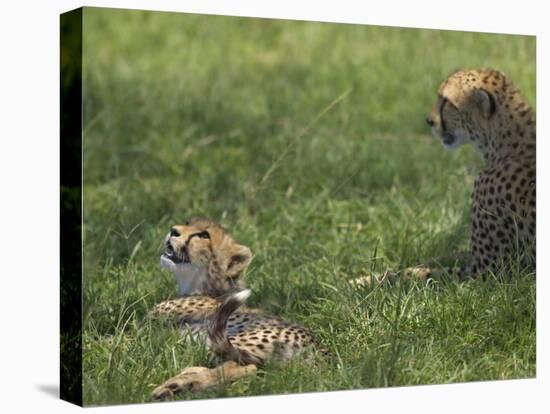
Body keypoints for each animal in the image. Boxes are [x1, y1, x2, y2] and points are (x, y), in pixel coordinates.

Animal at [151, 218, 320, 400]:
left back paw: (175, 385)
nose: (173, 230)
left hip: (230, 340)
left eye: (204, 235)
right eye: (188, 222)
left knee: (247, 366)